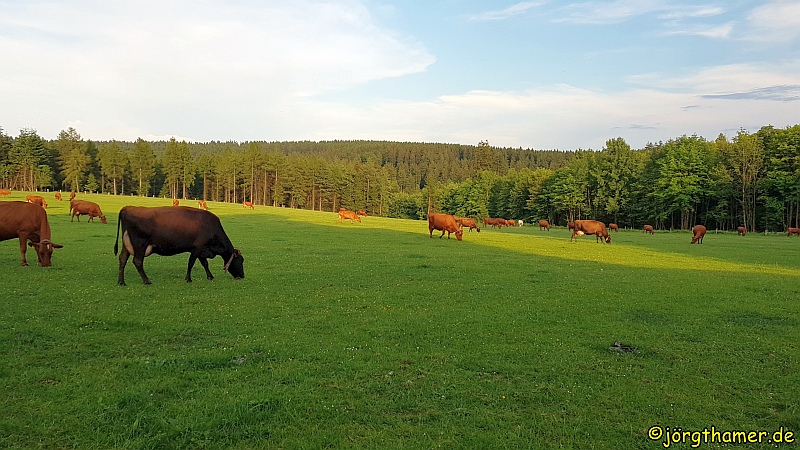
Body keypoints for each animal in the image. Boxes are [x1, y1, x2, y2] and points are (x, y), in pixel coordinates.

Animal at [114, 206, 244, 285]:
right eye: (240, 261)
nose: (242, 276)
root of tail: (128, 208)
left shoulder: (201, 249)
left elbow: (204, 263)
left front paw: (210, 276)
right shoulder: (197, 248)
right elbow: (191, 263)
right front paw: (188, 279)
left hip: (126, 244)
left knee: (122, 259)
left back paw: (121, 282)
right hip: (140, 244)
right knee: (137, 261)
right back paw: (146, 281)